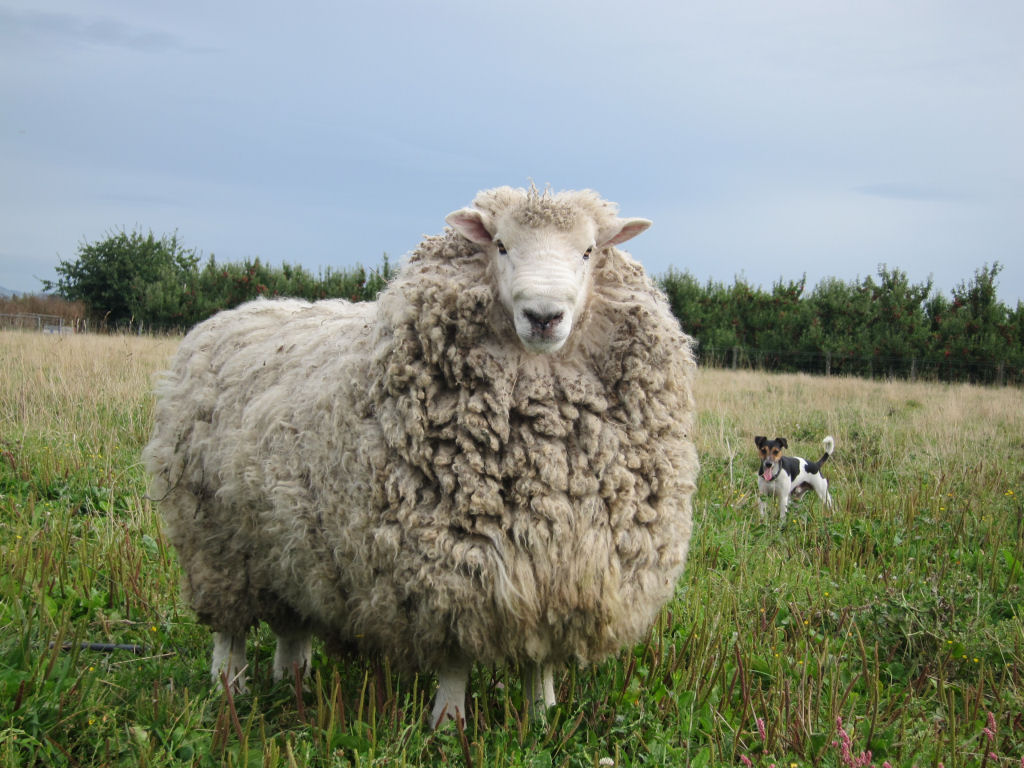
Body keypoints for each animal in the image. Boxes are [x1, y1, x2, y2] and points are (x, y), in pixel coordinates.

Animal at [142, 185, 696, 729]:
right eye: (500, 245)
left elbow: (539, 661)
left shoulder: (561, 570)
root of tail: (233, 314)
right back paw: (230, 689)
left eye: (588, 251)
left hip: (288, 545)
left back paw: (293, 681)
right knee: (229, 631)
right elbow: (455, 662)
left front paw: (542, 719)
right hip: (216, 540)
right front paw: (448, 725)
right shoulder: (447, 567)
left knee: (292, 624)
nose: (544, 317)